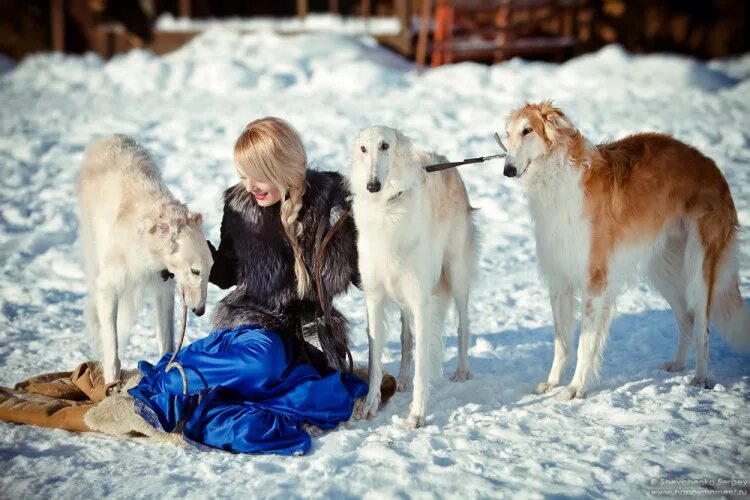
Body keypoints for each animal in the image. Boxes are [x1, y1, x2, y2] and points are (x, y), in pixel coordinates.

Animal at [78, 135, 213, 384]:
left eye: (210, 269)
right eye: (195, 271)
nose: (200, 311)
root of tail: (109, 136)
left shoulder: (164, 288)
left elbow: (167, 342)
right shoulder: (109, 286)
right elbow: (112, 345)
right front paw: (111, 382)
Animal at [350, 125, 478, 426]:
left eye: (385, 145)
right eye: (363, 148)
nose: (372, 185)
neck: (387, 207)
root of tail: (445, 161)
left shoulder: (421, 299)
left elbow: (423, 363)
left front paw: (417, 414)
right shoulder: (374, 295)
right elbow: (374, 361)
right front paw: (370, 406)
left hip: (456, 273)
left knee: (463, 324)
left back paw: (461, 372)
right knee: (406, 338)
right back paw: (403, 379)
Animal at [502, 100, 748, 398]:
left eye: (528, 130)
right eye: (508, 133)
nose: (507, 170)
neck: (556, 179)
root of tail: (712, 166)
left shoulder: (595, 279)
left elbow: (585, 343)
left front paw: (575, 388)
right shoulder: (559, 280)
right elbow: (562, 343)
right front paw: (552, 382)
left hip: (700, 267)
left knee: (703, 328)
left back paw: (700, 379)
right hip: (664, 268)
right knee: (687, 321)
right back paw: (678, 365)